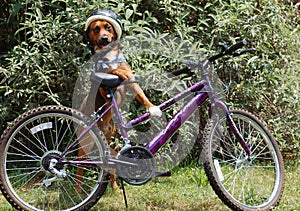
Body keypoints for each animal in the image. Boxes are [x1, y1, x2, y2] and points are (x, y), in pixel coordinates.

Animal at [76, 8, 163, 190]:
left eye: (108, 28)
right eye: (96, 29)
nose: (104, 38)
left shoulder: (133, 86)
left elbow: (141, 94)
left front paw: (152, 107)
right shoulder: (104, 87)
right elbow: (114, 71)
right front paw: (119, 72)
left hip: (112, 141)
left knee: (112, 168)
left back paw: (115, 187)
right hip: (85, 143)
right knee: (79, 166)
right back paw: (77, 188)